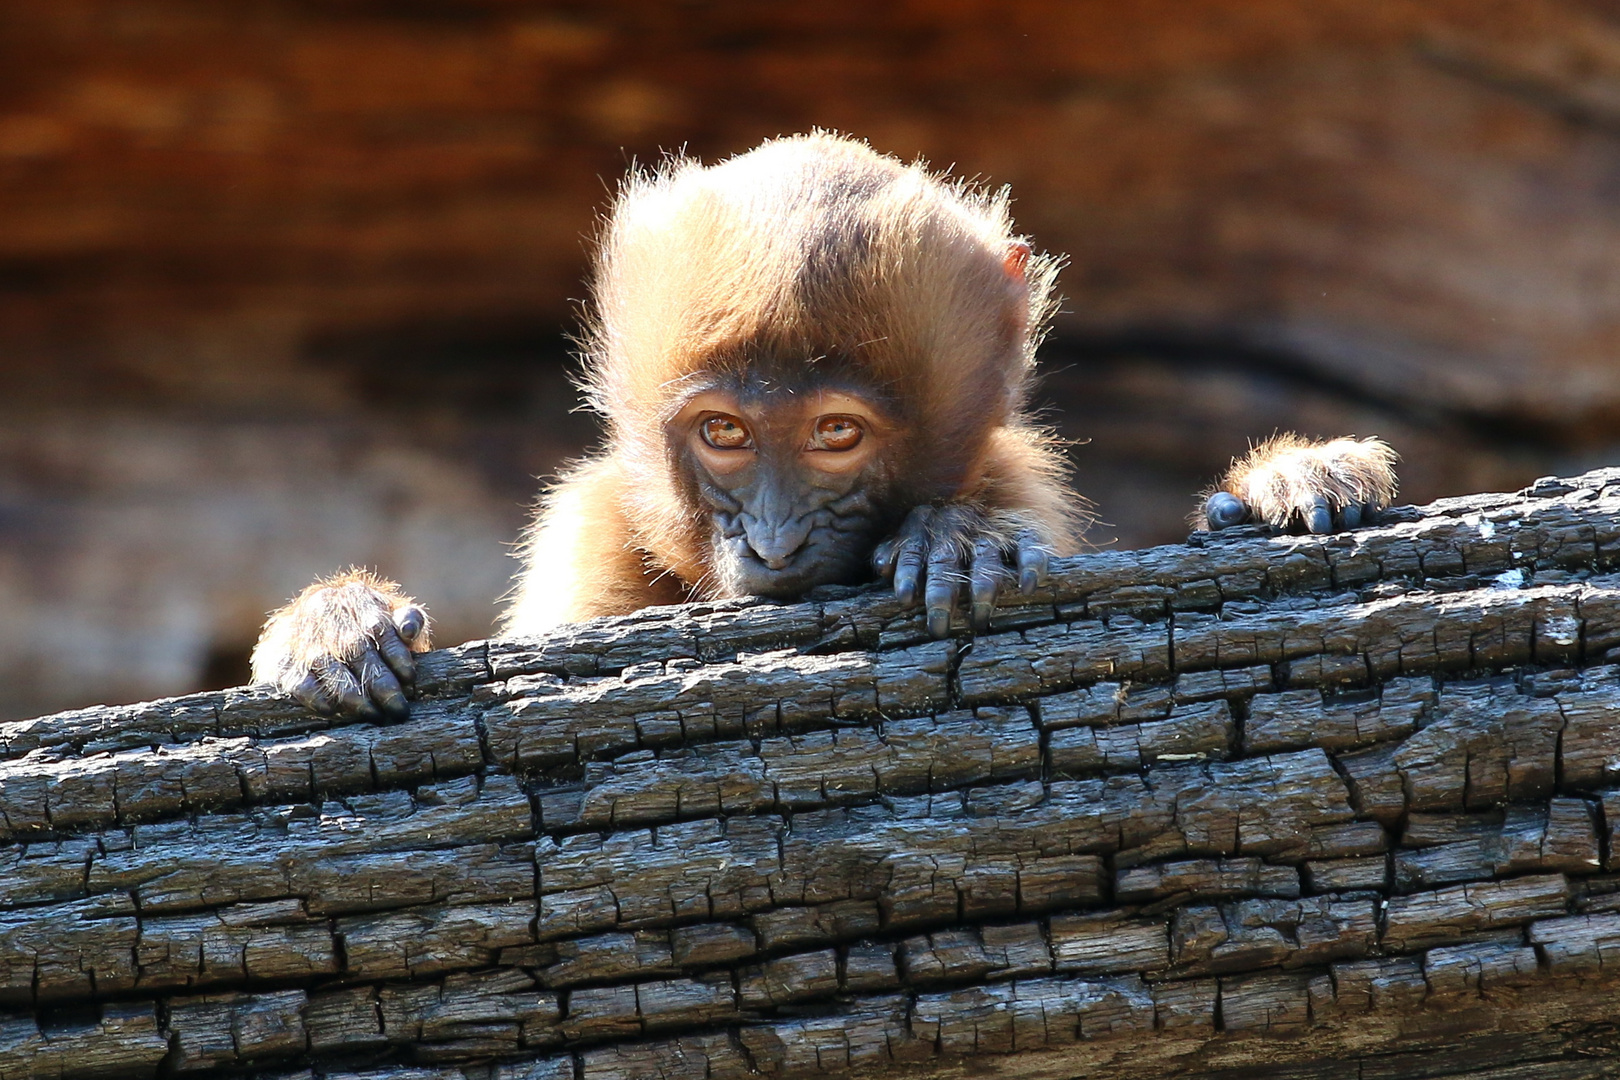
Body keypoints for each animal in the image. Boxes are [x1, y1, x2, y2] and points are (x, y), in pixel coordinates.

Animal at [249, 132, 1393, 718]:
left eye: (836, 436)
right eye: (725, 434)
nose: (773, 541)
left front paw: (1291, 481)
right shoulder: (595, 525)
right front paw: (337, 621)